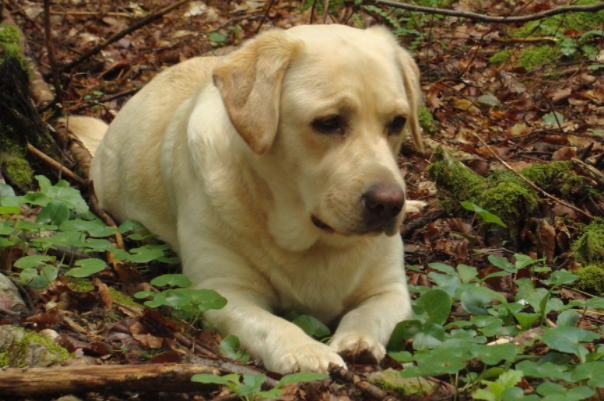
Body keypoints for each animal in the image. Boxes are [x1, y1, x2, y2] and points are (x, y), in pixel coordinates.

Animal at [71, 25, 424, 374]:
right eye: (328, 122)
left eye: (397, 122)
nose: (389, 204)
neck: (312, 241)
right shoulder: (221, 290)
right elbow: (271, 324)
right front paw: (305, 350)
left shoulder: (392, 290)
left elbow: (367, 313)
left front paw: (358, 340)